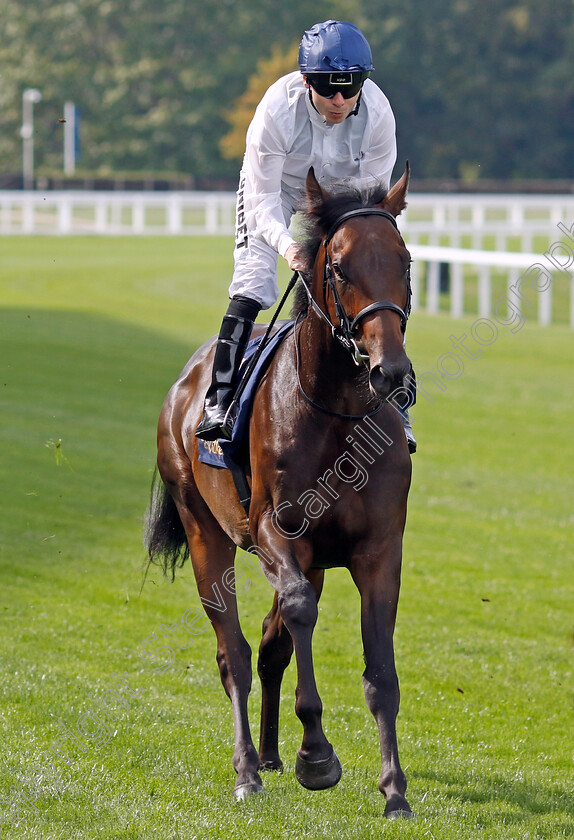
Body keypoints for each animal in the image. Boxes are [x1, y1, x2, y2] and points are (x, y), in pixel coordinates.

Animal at [144, 166, 414, 820]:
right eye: (339, 267)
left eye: (405, 260)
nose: (390, 370)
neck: (338, 416)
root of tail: (185, 381)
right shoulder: (276, 530)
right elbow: (295, 614)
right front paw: (315, 755)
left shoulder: (378, 550)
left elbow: (379, 667)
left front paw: (394, 788)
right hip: (205, 531)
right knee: (236, 653)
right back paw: (248, 768)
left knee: (269, 647)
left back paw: (267, 756)